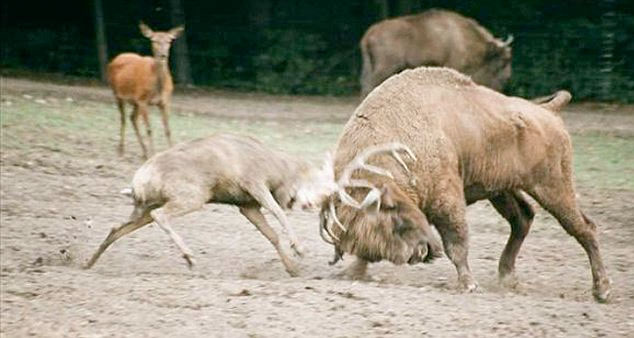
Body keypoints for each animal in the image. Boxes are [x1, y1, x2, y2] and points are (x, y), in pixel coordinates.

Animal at [107, 22, 183, 158]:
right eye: (154, 40)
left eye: (169, 40)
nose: (163, 55)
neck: (158, 88)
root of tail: (116, 58)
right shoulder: (143, 100)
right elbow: (149, 129)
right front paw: (153, 153)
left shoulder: (165, 101)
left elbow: (168, 129)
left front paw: (171, 150)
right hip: (117, 93)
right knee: (123, 119)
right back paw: (121, 150)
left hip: (135, 101)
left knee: (132, 118)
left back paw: (144, 151)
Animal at [324, 66, 608, 304]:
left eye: (393, 220)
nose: (417, 254)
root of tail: (548, 112)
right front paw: (353, 273)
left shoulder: (447, 201)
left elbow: (456, 243)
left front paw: (469, 285)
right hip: (502, 190)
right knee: (523, 218)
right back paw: (508, 278)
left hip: (552, 187)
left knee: (583, 227)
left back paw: (602, 290)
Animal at [358, 8, 512, 97]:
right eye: (504, 60)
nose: (507, 79)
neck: (461, 36)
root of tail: (370, 33)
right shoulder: (453, 65)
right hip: (385, 68)